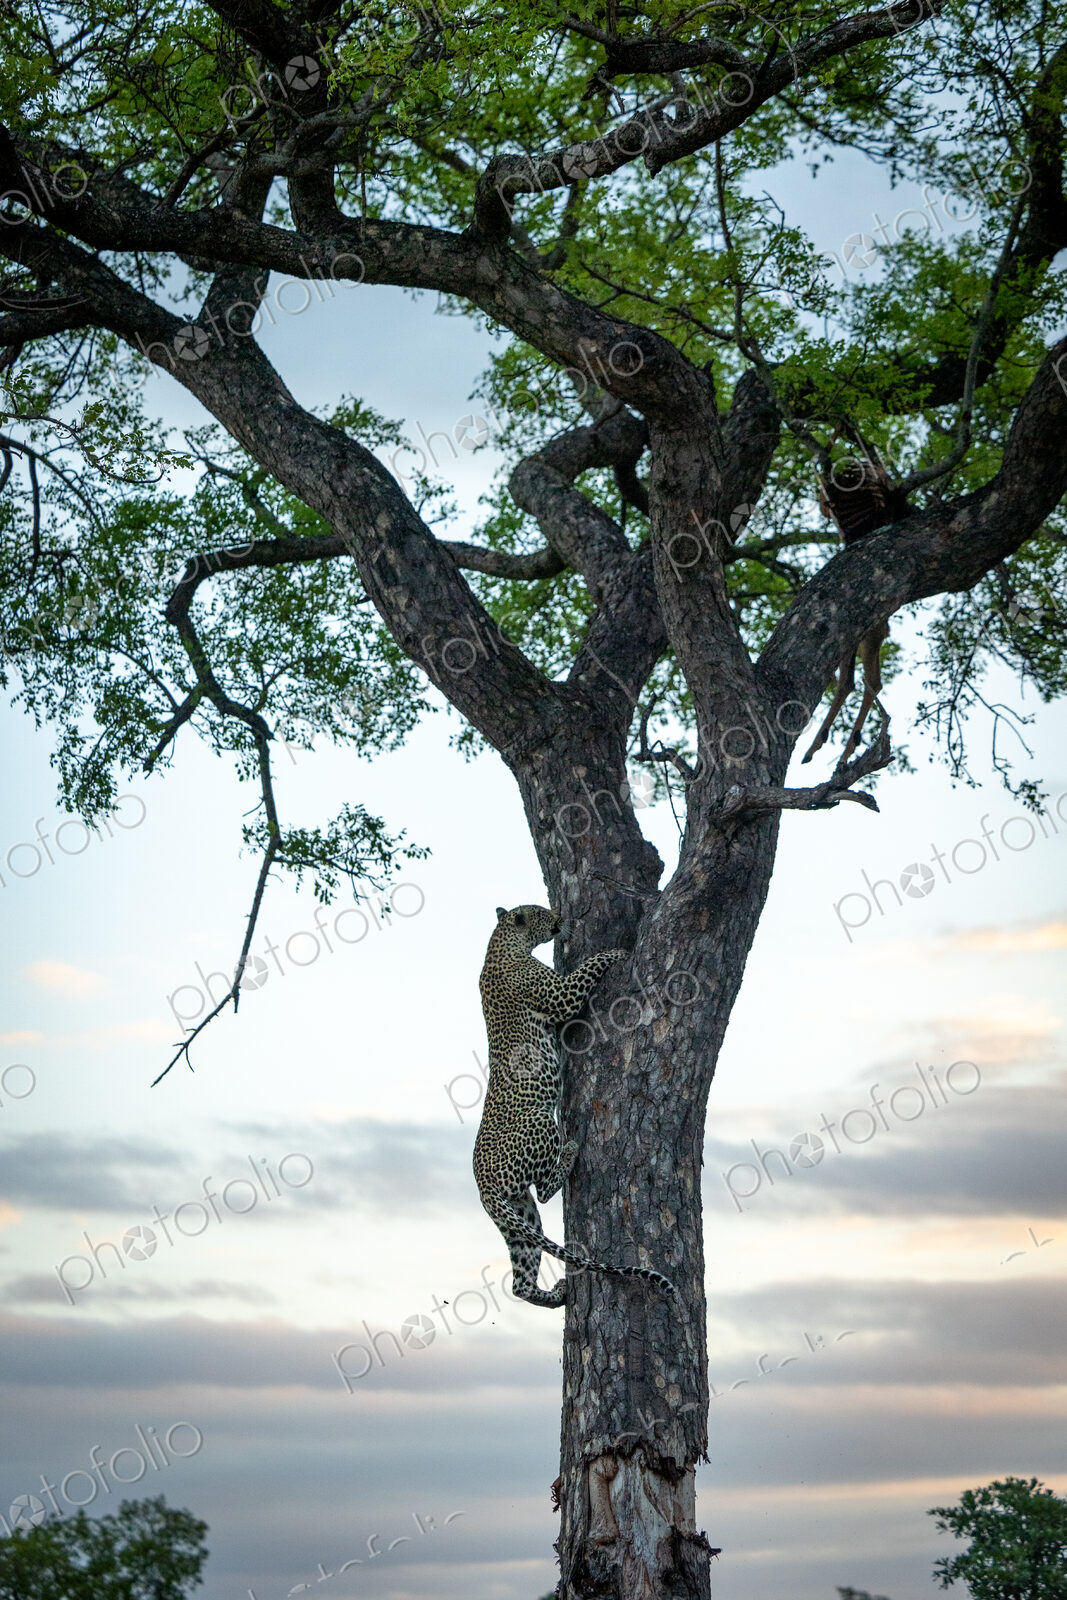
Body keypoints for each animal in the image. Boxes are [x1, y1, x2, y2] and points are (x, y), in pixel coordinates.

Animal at [473, 903, 678, 1308]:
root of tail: (483, 1185)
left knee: (520, 1281)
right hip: (539, 1119)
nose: (560, 916)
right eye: (539, 910)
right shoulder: (559, 994)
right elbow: (585, 969)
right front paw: (616, 952)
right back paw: (570, 1149)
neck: (501, 942)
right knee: (545, 1188)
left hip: (518, 1216)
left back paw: (558, 1294)